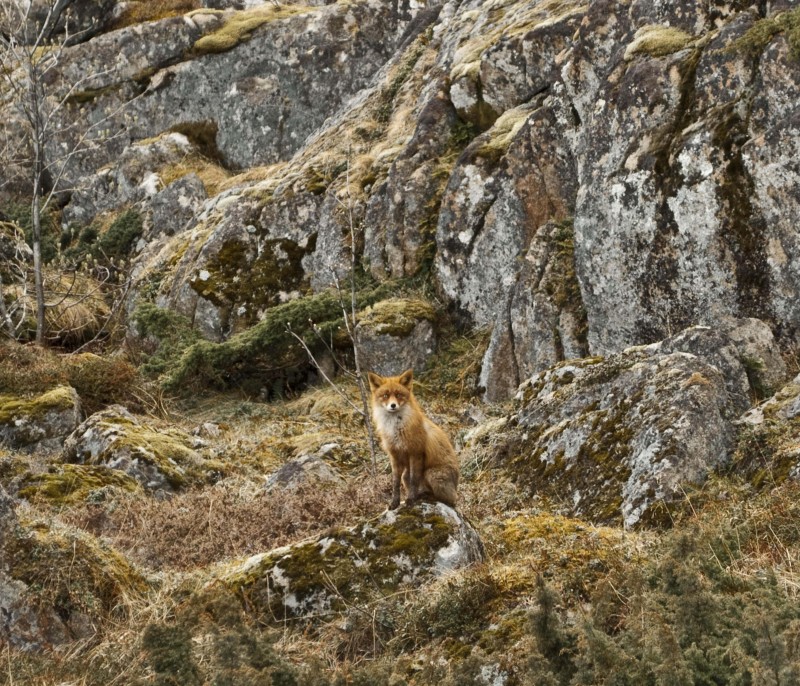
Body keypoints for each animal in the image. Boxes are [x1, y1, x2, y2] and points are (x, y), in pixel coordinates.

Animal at [368, 370, 460, 510]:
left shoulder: (415, 452)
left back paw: (427, 497)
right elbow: (395, 483)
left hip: (432, 474)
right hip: (407, 476)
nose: (393, 405)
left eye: (398, 395)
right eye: (385, 395)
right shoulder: (394, 455)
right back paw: (422, 494)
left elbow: (414, 480)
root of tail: (456, 484)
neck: (396, 429)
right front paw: (395, 502)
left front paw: (411, 500)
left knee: (451, 501)